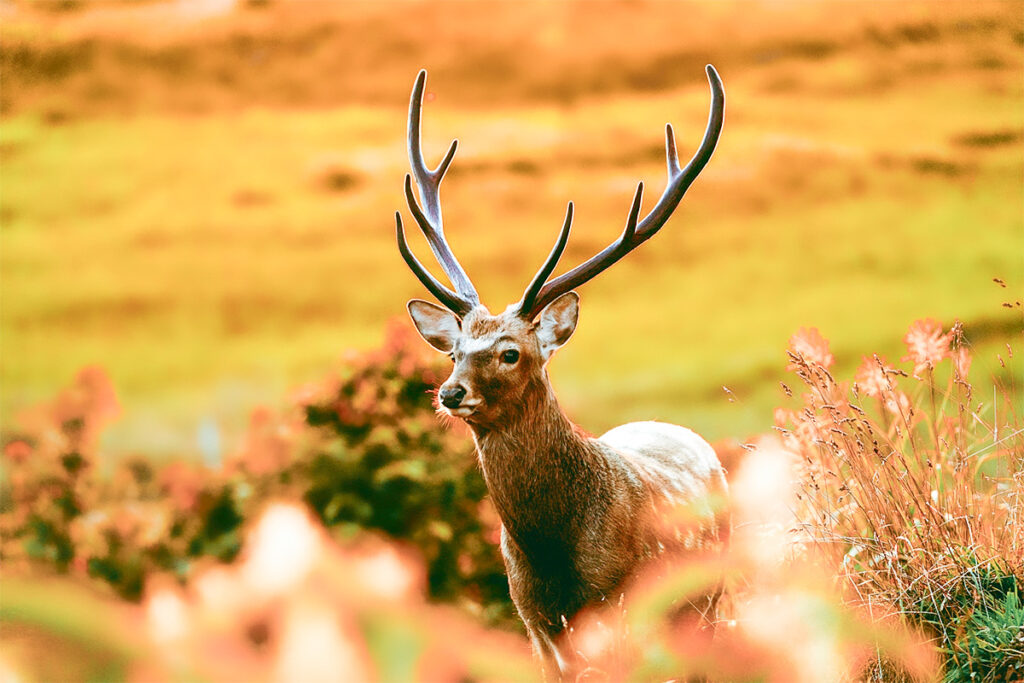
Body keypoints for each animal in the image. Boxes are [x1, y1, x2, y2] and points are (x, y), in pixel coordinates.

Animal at [395, 66, 728, 679]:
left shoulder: (626, 615)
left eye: (510, 353)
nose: (449, 393)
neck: (556, 566)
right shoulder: (532, 627)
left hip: (709, 601)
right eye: (454, 351)